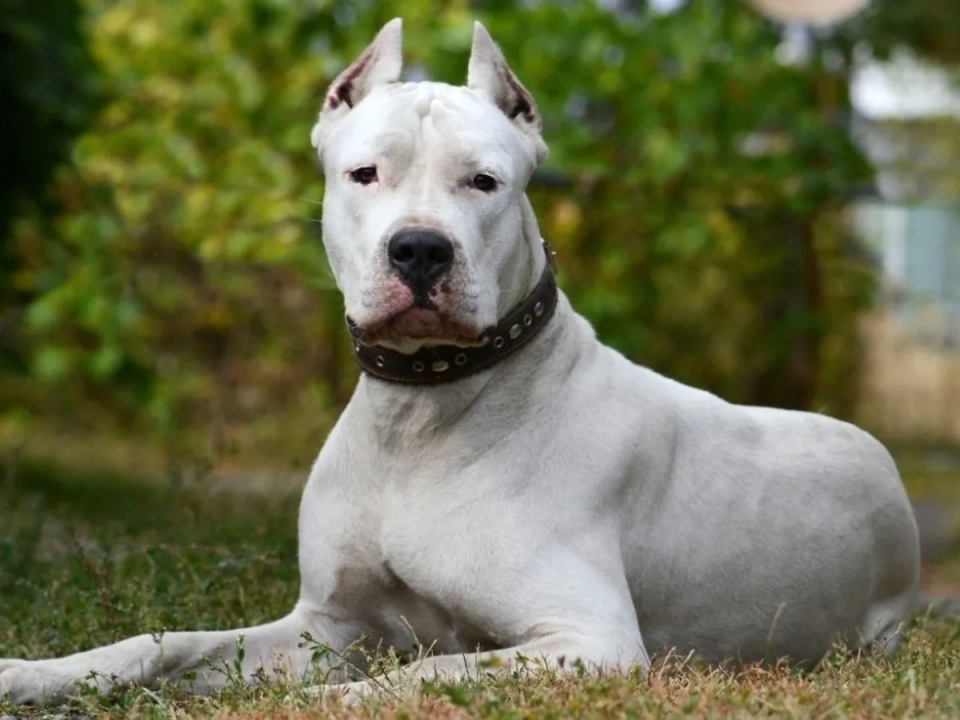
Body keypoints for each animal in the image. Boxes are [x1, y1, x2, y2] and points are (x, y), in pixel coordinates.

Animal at [0, 19, 920, 704]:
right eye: (363, 173)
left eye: (485, 182)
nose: (418, 249)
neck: (422, 413)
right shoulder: (322, 625)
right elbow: (162, 642)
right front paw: (35, 672)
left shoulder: (587, 639)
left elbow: (418, 673)